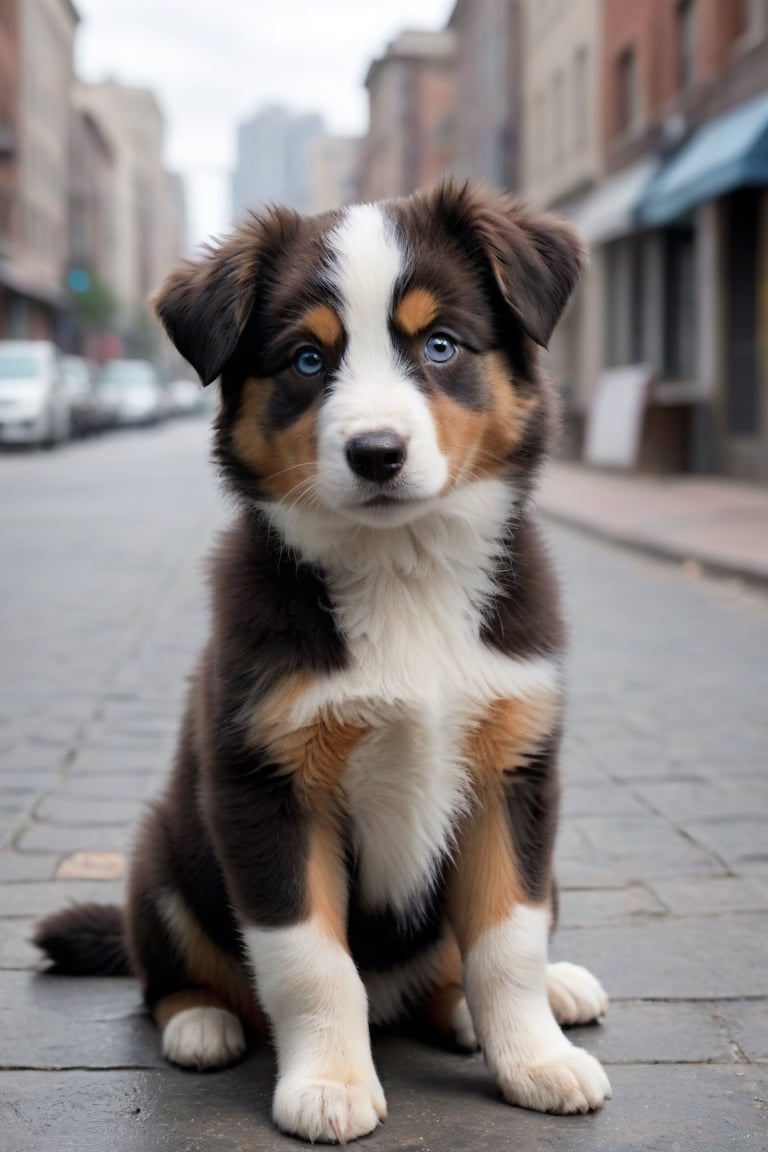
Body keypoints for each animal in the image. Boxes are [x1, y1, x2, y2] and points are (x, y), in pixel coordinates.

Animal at [35, 179, 612, 1142]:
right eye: (308, 360)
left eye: (441, 345)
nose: (376, 453)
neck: (402, 571)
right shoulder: (266, 784)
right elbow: (311, 961)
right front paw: (332, 1086)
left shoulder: (516, 773)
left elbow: (508, 941)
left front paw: (536, 1061)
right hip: (161, 853)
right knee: (169, 976)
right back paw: (202, 1022)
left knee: (461, 971)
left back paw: (525, 1000)